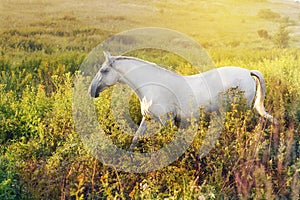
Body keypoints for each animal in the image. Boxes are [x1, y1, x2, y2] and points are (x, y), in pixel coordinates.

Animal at [89, 51, 274, 150]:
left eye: (104, 70)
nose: (92, 91)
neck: (151, 86)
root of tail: (248, 72)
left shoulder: (166, 120)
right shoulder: (147, 118)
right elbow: (136, 138)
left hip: (241, 110)